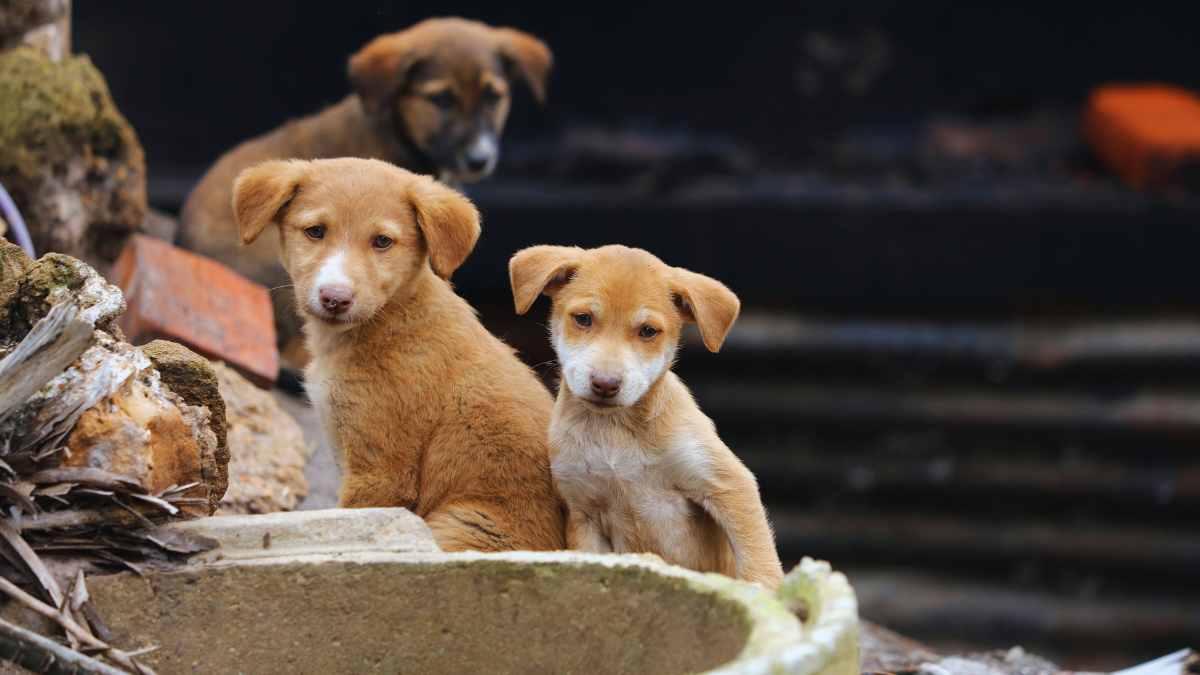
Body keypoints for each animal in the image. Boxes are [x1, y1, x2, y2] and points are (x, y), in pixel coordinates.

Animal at [235, 158, 566, 552]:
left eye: (382, 241)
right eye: (315, 231)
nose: (335, 298)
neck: (389, 319)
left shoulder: (381, 470)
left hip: (459, 524)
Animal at [508, 243, 782, 586]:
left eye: (648, 331)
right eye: (583, 319)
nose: (605, 384)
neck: (615, 431)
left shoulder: (727, 483)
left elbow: (758, 558)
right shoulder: (584, 513)